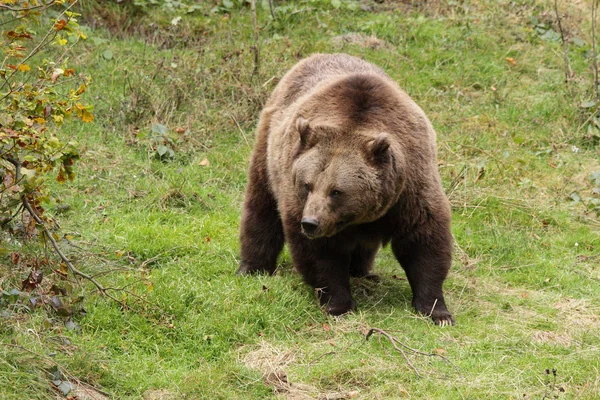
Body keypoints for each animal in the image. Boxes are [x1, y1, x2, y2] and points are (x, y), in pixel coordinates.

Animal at [237, 53, 452, 326]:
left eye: (336, 191)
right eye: (307, 185)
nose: (310, 223)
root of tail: (314, 56)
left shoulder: (410, 188)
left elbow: (424, 241)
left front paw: (437, 310)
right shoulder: (298, 198)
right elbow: (320, 255)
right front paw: (338, 303)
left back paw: (361, 271)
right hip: (269, 147)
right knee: (261, 205)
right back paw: (252, 267)